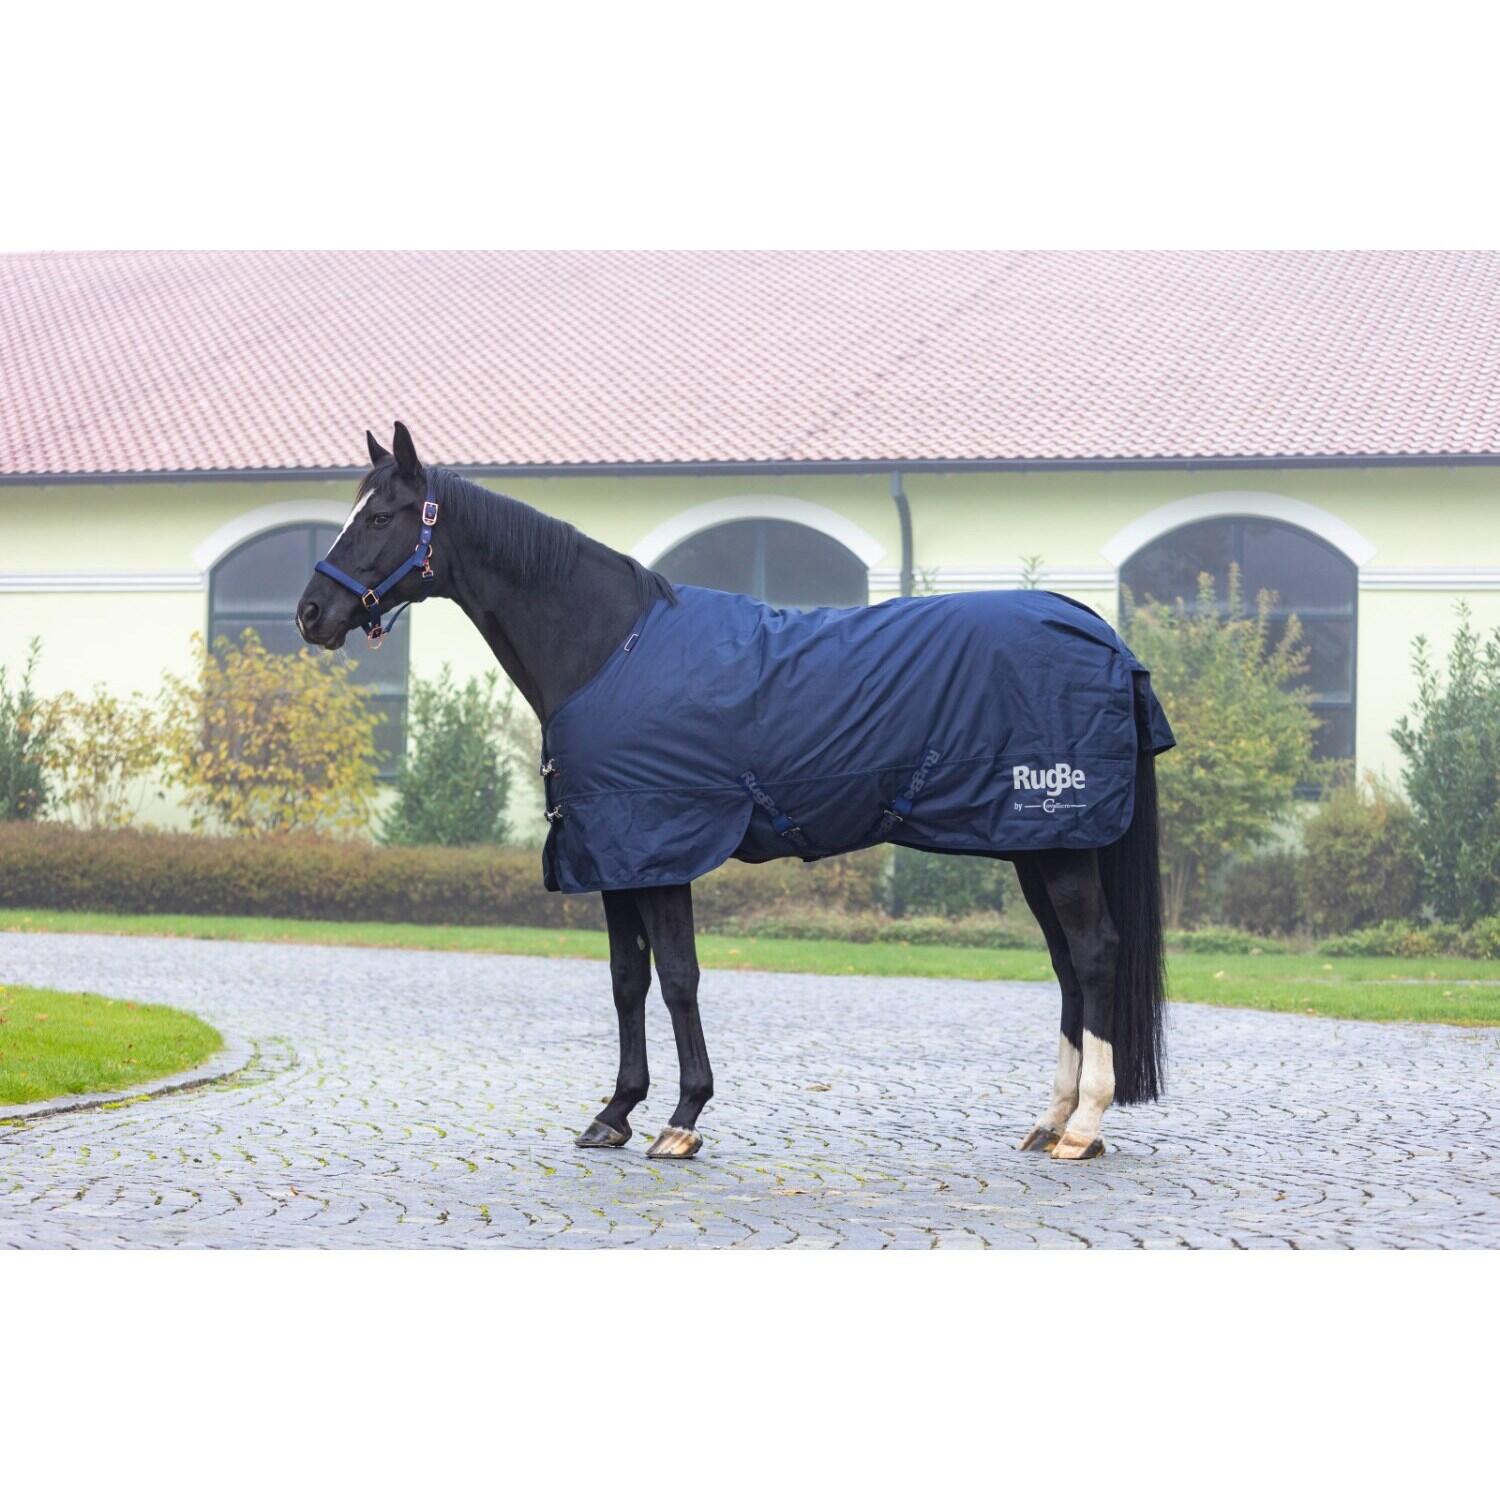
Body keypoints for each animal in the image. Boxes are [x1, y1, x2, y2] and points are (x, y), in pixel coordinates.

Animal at [296, 422, 1169, 1164]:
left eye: (382, 517)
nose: (310, 613)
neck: (609, 648)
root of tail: (1104, 635)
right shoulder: (614, 857)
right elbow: (628, 981)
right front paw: (616, 1112)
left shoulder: (661, 847)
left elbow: (680, 978)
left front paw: (682, 1119)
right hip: (1034, 846)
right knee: (1066, 964)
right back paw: (1051, 1120)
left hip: (1059, 841)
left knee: (1094, 955)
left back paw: (1083, 1126)